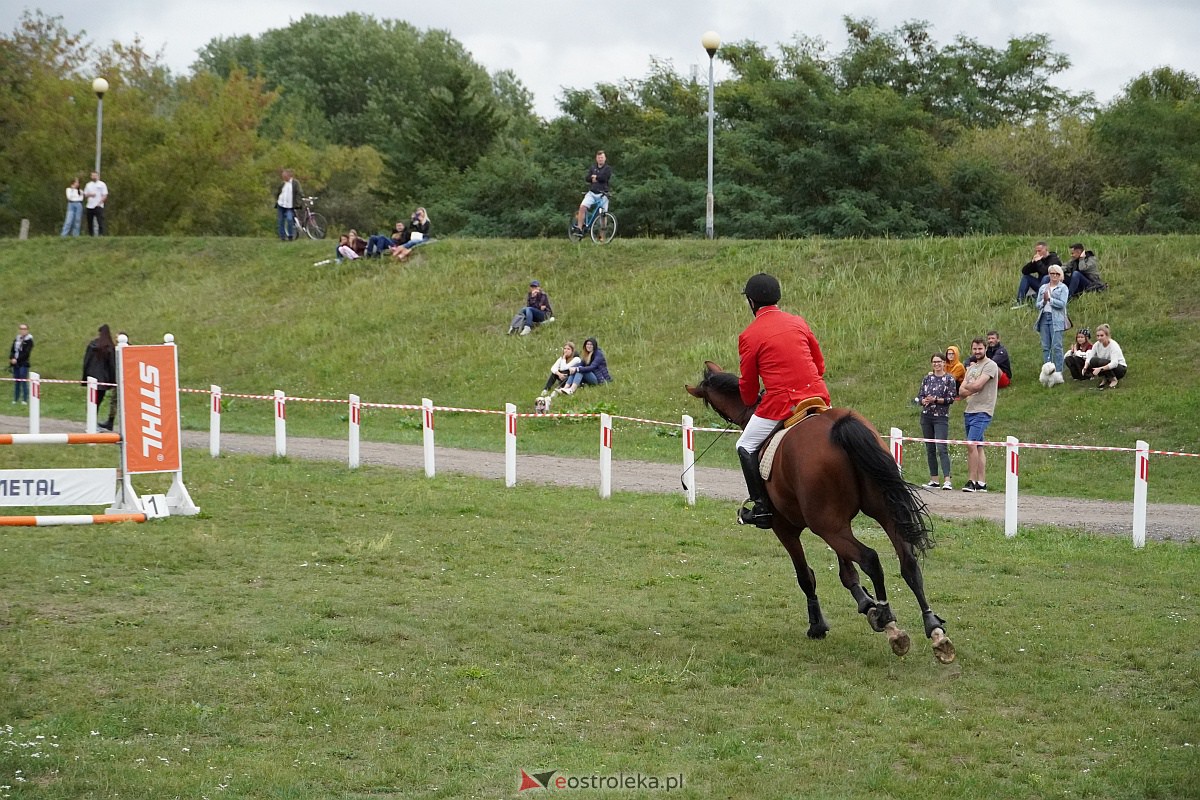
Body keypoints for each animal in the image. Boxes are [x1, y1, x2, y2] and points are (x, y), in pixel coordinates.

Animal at [686, 362, 955, 662]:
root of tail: (837, 427)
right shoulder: (838, 524)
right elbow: (847, 573)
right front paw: (866, 604)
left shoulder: (786, 529)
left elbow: (806, 576)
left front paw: (819, 626)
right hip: (872, 513)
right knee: (907, 561)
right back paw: (933, 629)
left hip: (827, 526)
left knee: (871, 559)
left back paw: (889, 621)